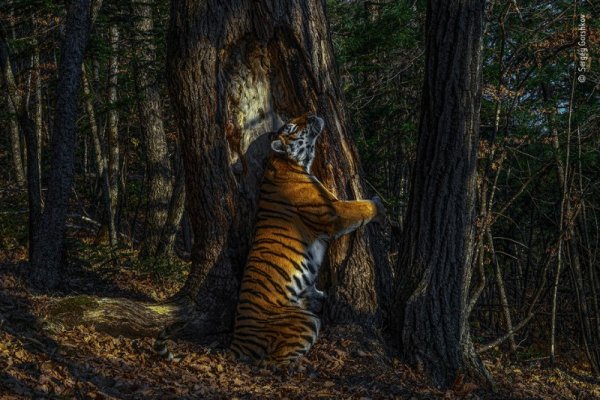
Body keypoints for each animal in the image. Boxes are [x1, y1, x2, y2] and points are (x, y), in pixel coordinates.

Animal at [230, 111, 384, 366]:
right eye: (292, 127)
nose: (312, 113)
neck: (287, 162)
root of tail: (237, 340)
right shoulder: (333, 211)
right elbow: (359, 207)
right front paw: (379, 204)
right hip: (304, 322)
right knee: (274, 362)